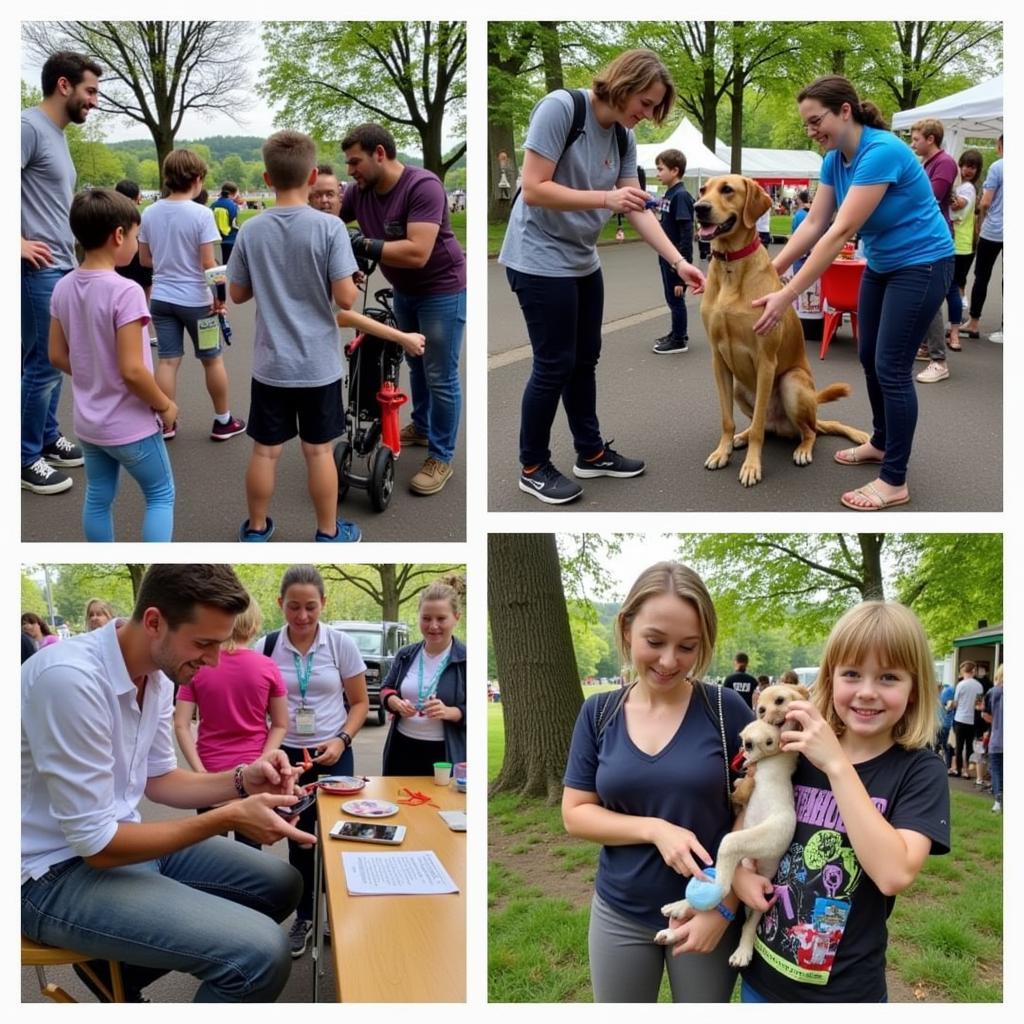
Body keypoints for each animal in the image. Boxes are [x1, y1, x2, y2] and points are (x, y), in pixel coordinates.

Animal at [692, 176, 868, 487]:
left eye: (727, 189)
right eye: (703, 190)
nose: (698, 208)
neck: (730, 266)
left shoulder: (766, 360)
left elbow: (759, 427)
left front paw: (752, 466)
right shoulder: (718, 360)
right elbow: (728, 419)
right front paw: (722, 451)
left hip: (791, 383)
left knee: (807, 431)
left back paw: (802, 449)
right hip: (739, 387)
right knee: (764, 425)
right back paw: (741, 437)